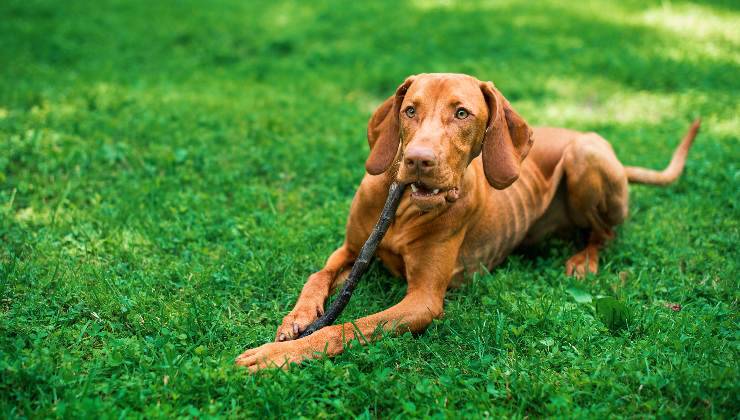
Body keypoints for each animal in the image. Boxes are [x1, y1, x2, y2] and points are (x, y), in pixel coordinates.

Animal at [237, 74, 700, 372]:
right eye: (409, 110)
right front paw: (296, 318)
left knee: (606, 232)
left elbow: (347, 327)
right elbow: (317, 276)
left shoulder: (423, 300)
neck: (403, 209)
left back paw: (584, 260)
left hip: (587, 154)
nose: (418, 160)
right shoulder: (352, 249)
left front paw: (273, 356)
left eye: (462, 113)